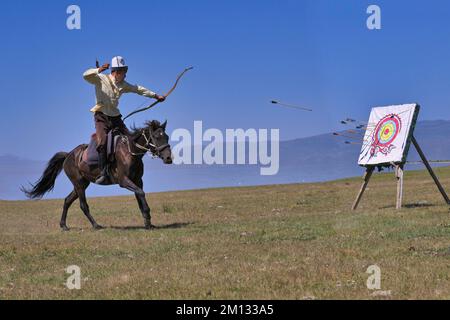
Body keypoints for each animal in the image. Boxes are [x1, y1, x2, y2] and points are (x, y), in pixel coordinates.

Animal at [21, 120, 173, 230]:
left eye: (166, 137)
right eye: (156, 137)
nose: (168, 158)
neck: (130, 152)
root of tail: (68, 155)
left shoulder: (137, 181)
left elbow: (140, 197)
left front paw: (148, 223)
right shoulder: (124, 181)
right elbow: (141, 194)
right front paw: (147, 219)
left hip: (81, 184)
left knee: (67, 201)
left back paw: (63, 226)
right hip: (79, 184)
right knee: (83, 205)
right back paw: (96, 225)